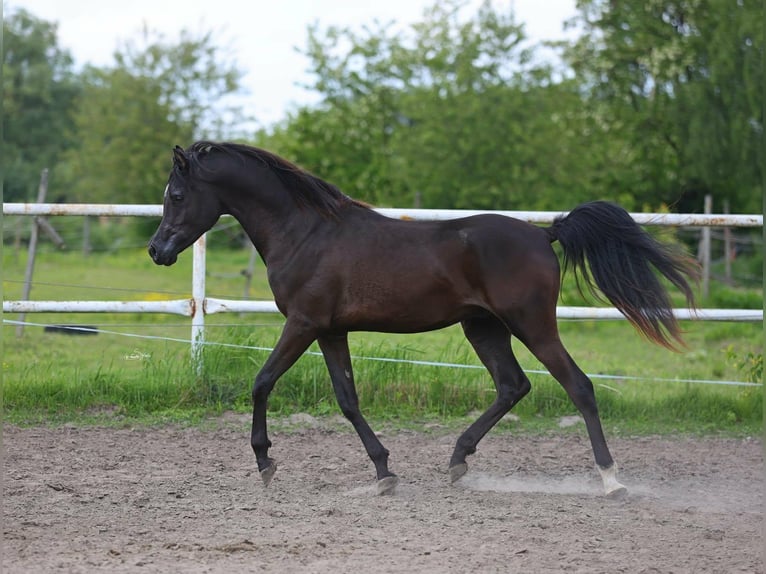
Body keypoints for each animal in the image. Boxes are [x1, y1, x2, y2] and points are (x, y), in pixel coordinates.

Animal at [148, 141, 699, 497]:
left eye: (176, 195)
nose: (157, 251)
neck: (304, 233)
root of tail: (545, 233)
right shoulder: (331, 331)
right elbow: (347, 399)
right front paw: (383, 472)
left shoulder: (303, 324)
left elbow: (262, 382)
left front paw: (265, 463)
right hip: (484, 327)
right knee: (512, 386)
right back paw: (457, 461)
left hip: (531, 323)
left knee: (578, 386)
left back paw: (611, 479)